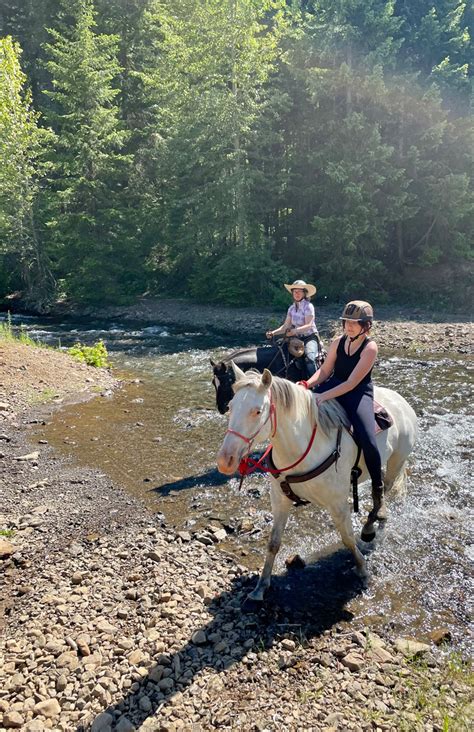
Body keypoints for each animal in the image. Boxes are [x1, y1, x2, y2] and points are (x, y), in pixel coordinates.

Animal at [217, 366, 416, 600]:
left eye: (257, 411)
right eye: (230, 407)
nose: (225, 461)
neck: (303, 448)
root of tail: (401, 401)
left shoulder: (338, 504)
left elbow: (348, 538)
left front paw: (363, 571)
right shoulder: (279, 499)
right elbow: (273, 543)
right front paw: (260, 587)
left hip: (396, 461)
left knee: (383, 487)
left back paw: (374, 524)